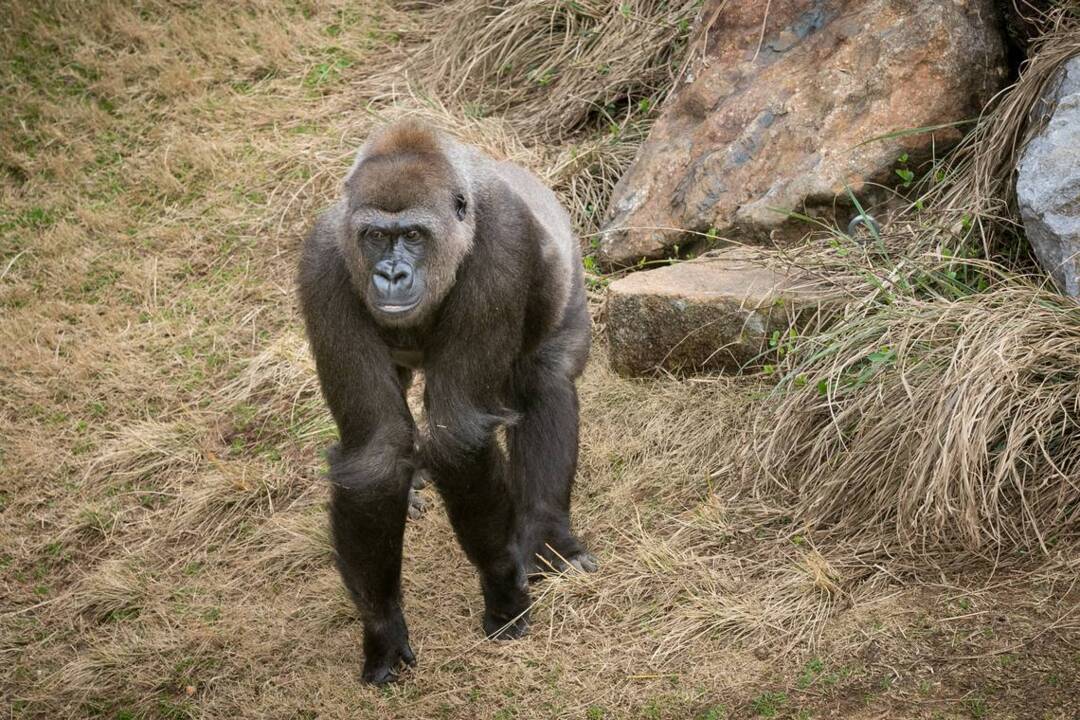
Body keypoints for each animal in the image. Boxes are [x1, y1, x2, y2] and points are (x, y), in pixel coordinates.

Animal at [297, 120, 596, 685]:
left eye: (413, 235)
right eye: (376, 237)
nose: (391, 275)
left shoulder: (501, 246)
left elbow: (459, 435)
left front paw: (503, 587)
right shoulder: (322, 264)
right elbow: (376, 452)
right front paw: (383, 627)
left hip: (567, 270)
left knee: (543, 382)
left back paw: (547, 538)